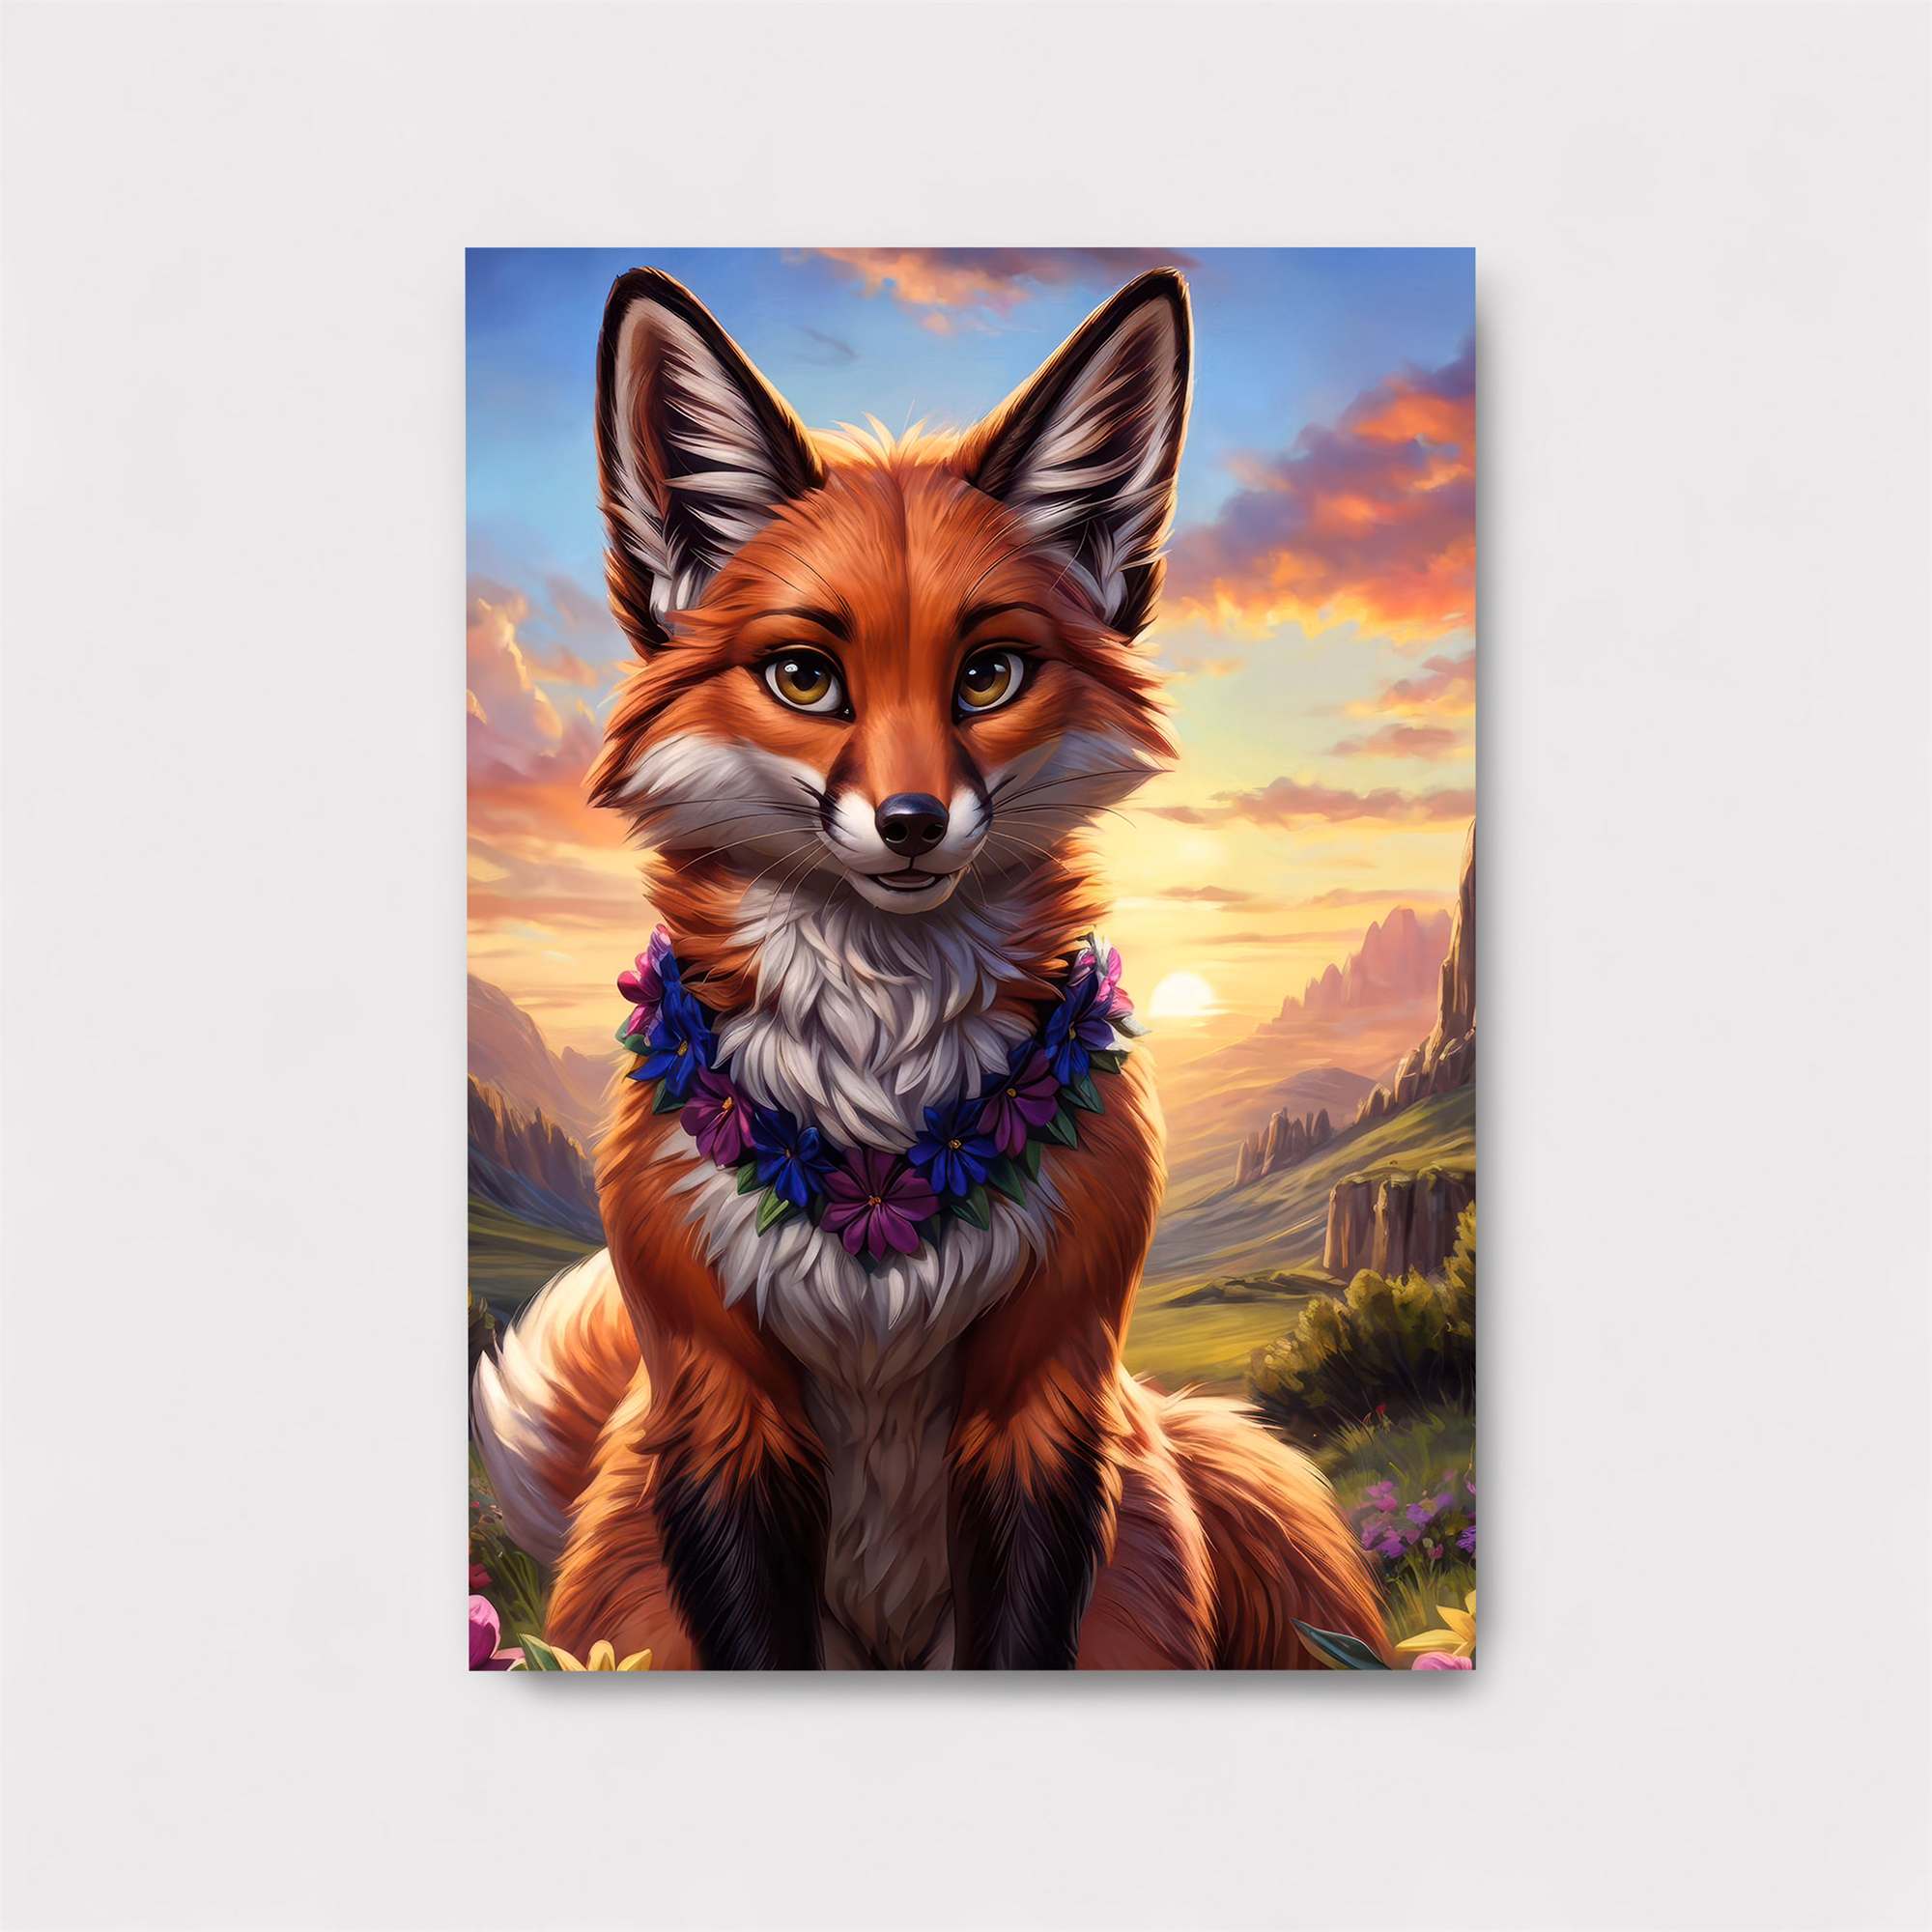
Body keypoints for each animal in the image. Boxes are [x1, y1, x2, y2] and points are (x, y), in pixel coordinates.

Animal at [472, 265, 1389, 1669]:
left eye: (989, 674)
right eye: (805, 677)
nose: (911, 823)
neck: (881, 1130)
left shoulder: (1044, 1389)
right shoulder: (723, 1400)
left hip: (1232, 1481)